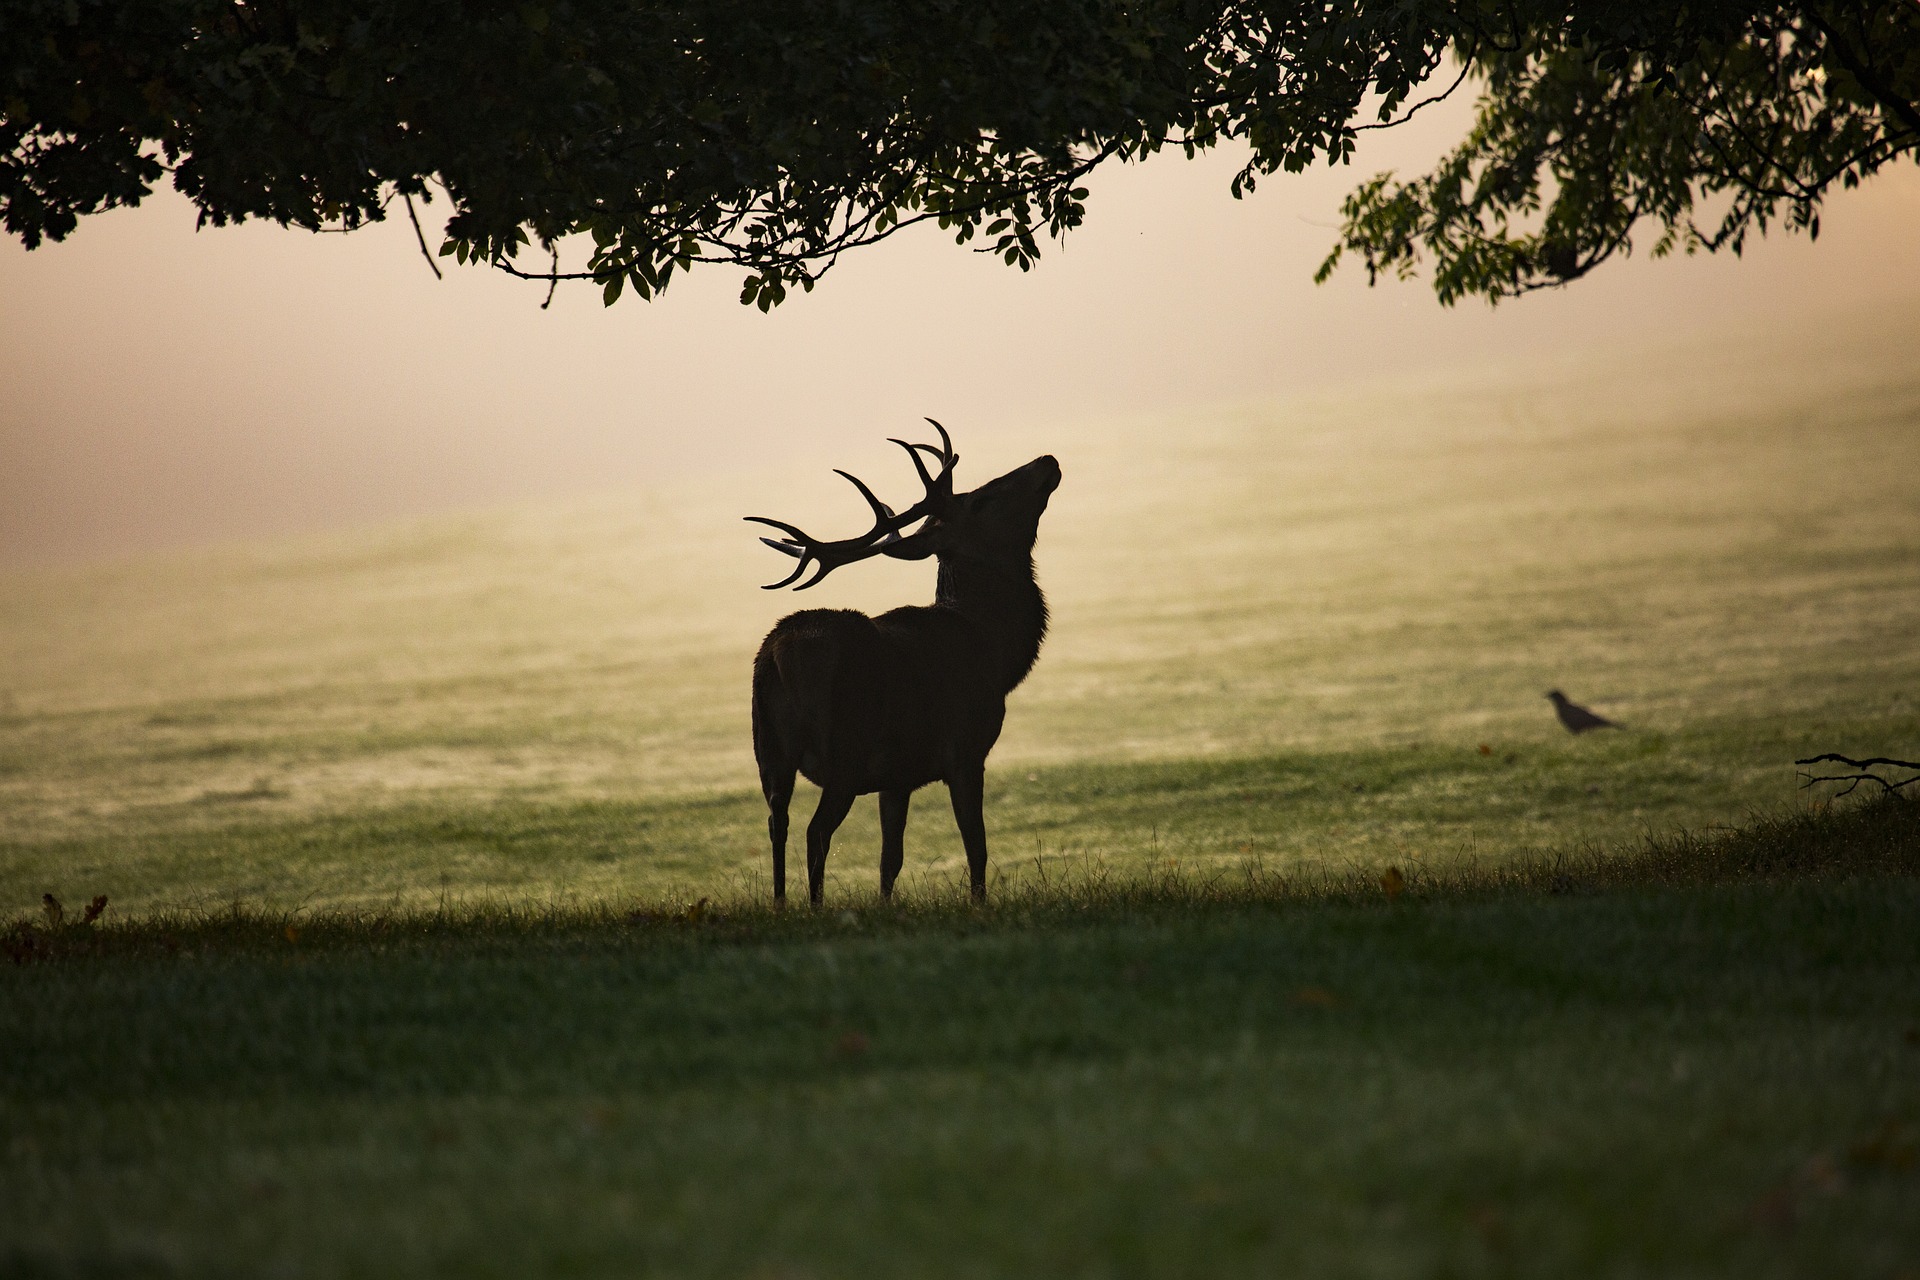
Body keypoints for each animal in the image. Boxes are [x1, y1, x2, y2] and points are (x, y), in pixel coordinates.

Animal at [744, 426, 1059, 905]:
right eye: (980, 500)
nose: (1047, 461)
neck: (995, 651)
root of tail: (777, 655)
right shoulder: (965, 750)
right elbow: (977, 845)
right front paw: (979, 905)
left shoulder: (896, 777)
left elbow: (889, 860)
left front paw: (886, 906)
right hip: (845, 751)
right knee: (815, 832)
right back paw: (814, 908)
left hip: (769, 750)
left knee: (776, 823)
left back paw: (781, 905)